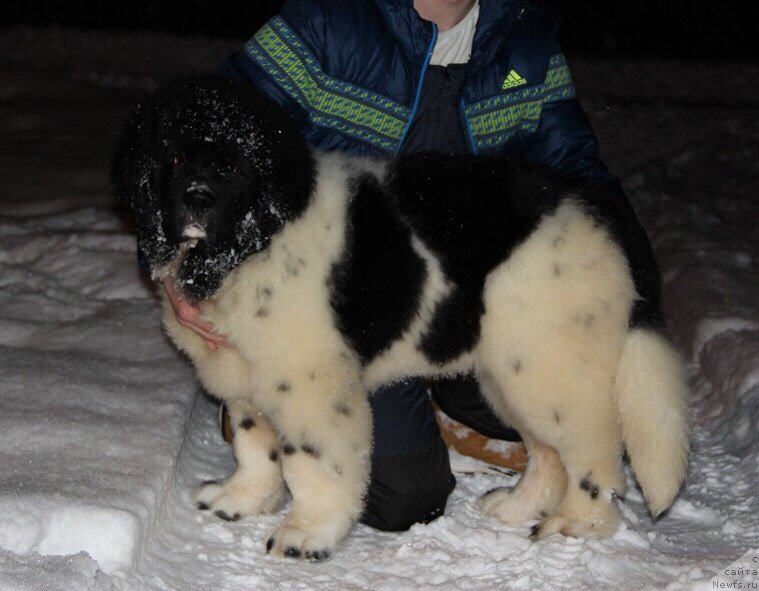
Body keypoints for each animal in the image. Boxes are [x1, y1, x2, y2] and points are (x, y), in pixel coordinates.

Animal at [111, 76, 688, 560]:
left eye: (230, 166)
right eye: (175, 157)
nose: (196, 201)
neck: (251, 244)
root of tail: (600, 205)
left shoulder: (309, 381)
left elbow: (313, 461)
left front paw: (307, 533)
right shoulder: (243, 371)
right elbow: (255, 445)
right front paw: (241, 499)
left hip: (552, 366)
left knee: (594, 452)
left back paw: (578, 523)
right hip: (509, 371)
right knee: (546, 451)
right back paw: (518, 506)